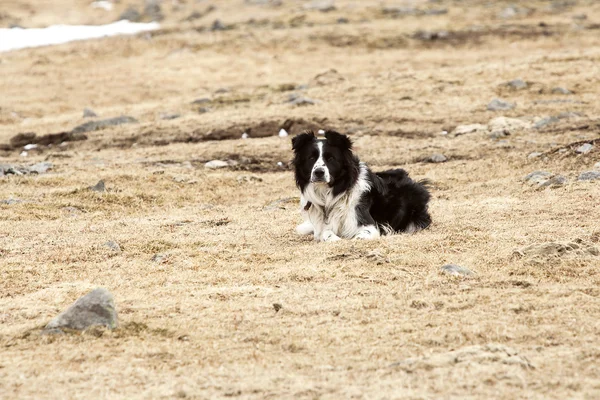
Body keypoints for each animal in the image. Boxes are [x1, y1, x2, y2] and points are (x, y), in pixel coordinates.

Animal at [292, 130, 428, 241]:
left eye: (331, 158)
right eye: (311, 158)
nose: (319, 172)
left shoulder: (370, 225)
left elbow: (361, 235)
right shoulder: (322, 227)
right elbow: (326, 233)